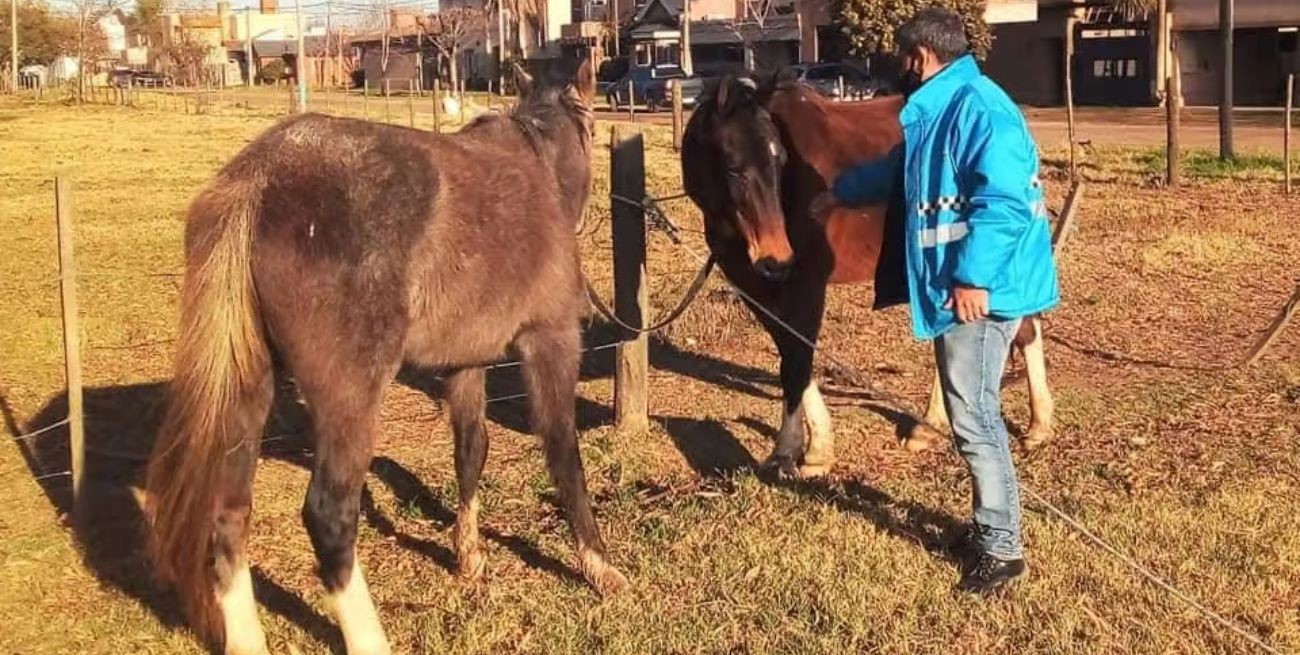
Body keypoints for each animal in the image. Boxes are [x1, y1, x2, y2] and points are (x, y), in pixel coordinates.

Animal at [145, 61, 628, 655]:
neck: (535, 170)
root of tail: (260, 178)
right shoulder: (551, 341)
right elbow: (564, 452)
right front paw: (599, 565)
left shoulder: (465, 364)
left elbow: (472, 451)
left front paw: (469, 556)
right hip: (350, 399)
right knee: (329, 515)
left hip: (247, 392)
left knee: (228, 514)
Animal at [680, 75, 1055, 479]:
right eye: (734, 168)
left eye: (780, 162)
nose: (776, 258)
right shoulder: (754, 287)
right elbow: (789, 353)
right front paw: (814, 447)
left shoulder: (807, 284)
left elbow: (798, 358)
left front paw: (798, 452)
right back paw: (948, 427)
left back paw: (1028, 426)